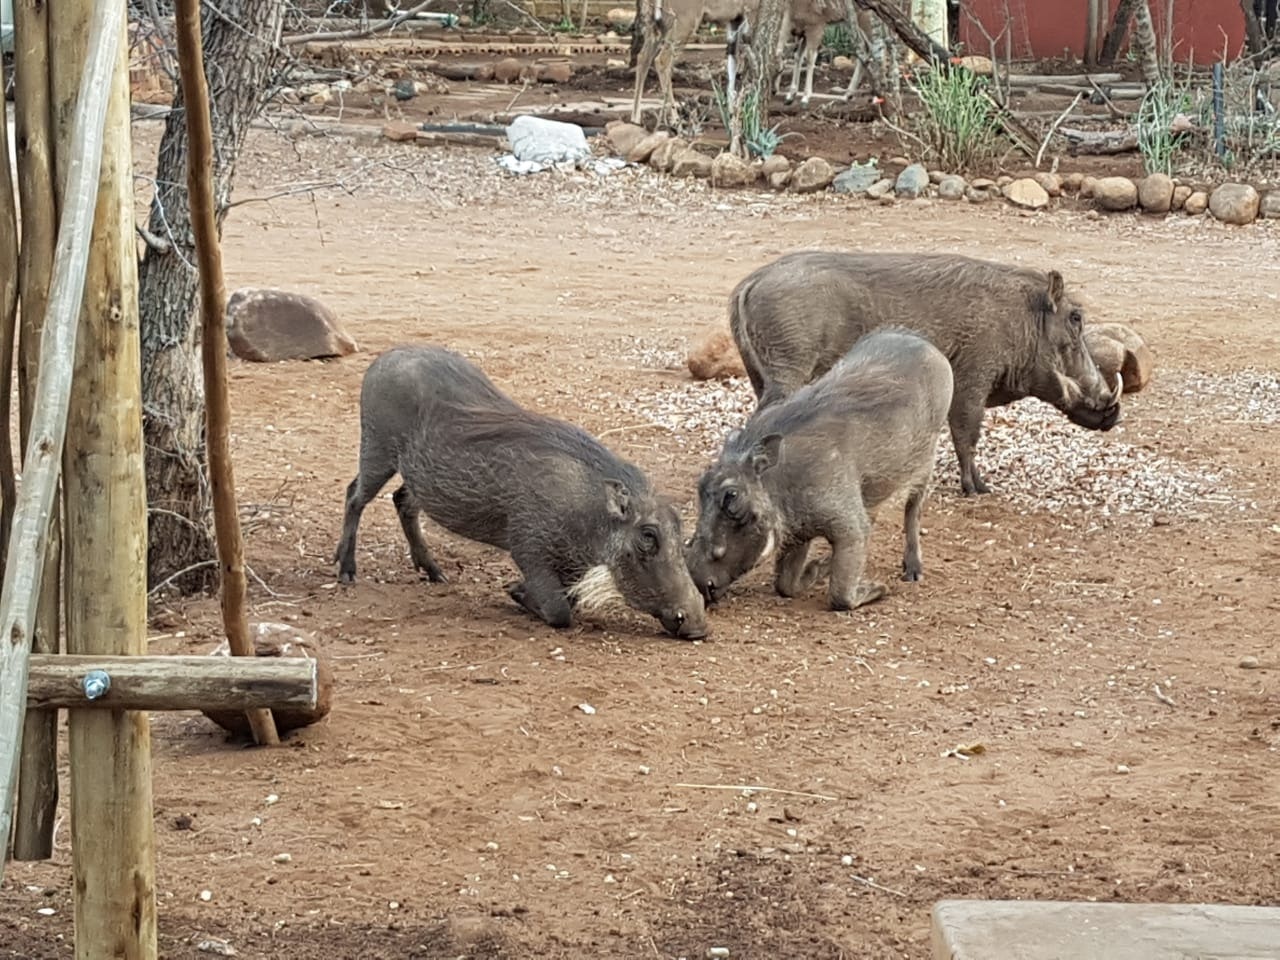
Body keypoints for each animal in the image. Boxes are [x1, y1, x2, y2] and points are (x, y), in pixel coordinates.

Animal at [333, 345, 707, 640]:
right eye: (648, 537)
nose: (699, 627)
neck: (591, 511)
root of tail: (387, 356)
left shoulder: (572, 561)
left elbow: (571, 597)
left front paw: (518, 591)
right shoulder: (529, 547)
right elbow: (559, 610)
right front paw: (518, 595)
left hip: (418, 476)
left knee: (403, 502)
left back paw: (435, 572)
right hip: (378, 450)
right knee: (355, 496)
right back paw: (346, 571)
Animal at [686, 328, 954, 612]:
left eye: (732, 497)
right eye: (700, 486)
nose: (697, 583)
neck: (779, 482)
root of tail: (924, 343)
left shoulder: (848, 528)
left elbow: (841, 595)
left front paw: (878, 588)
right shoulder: (798, 531)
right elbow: (786, 584)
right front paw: (817, 569)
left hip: (925, 461)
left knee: (913, 511)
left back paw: (913, 570)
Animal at [728, 250, 1124, 496]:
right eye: (1076, 317)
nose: (1113, 414)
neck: (1023, 318)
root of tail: (750, 281)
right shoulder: (972, 380)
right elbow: (967, 436)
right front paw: (976, 488)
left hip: (761, 375)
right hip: (788, 370)